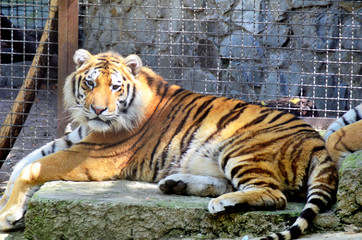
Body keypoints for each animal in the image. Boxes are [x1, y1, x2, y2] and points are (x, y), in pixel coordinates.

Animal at [0, 49, 340, 240]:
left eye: (115, 87)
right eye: (90, 82)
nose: (98, 110)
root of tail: (318, 141)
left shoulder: (94, 154)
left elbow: (32, 168)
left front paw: (8, 215)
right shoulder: (76, 138)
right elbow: (20, 166)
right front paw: (7, 207)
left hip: (241, 148)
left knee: (274, 195)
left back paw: (221, 203)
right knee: (229, 183)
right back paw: (175, 184)